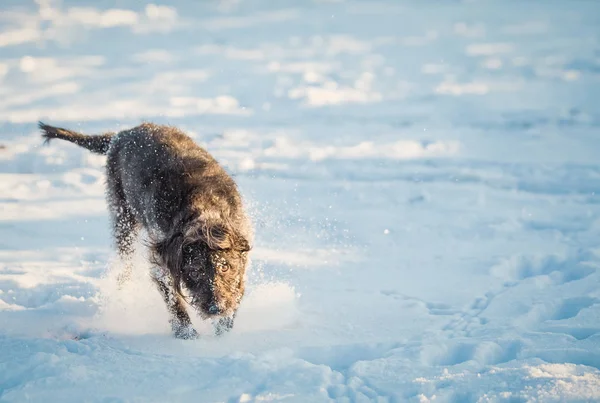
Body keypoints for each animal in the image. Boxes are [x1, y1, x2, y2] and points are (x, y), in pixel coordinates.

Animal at [37, 121, 253, 340]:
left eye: (225, 266)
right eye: (195, 271)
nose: (216, 308)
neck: (205, 207)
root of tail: (122, 134)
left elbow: (237, 290)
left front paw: (223, 333)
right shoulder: (161, 263)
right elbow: (174, 302)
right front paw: (187, 335)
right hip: (123, 219)